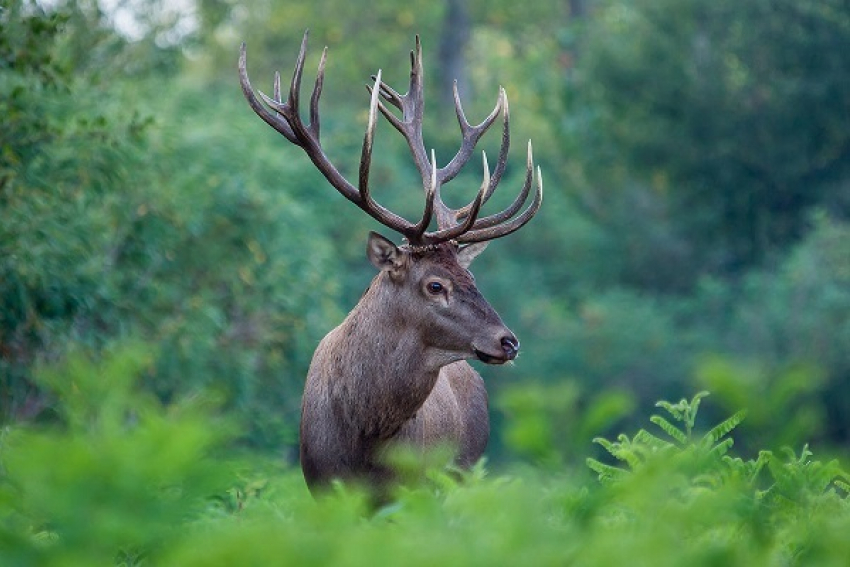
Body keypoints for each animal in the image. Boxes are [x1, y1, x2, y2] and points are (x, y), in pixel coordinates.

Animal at [237, 31, 544, 494]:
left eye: (470, 275)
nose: (508, 341)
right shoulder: (319, 484)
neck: (364, 438)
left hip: (464, 475)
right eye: (435, 284)